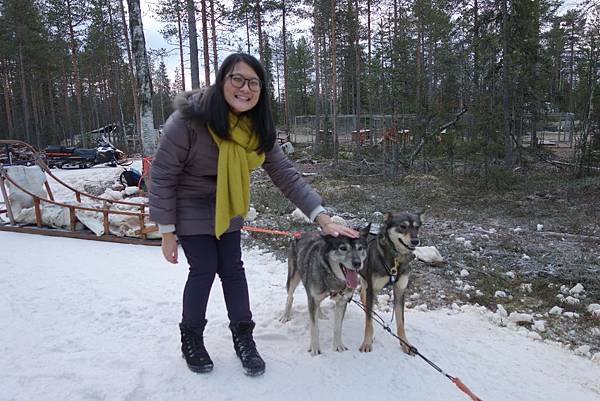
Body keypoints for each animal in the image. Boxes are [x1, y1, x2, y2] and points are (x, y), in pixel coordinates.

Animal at [360, 211, 422, 352]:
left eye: (417, 227)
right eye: (403, 226)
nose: (415, 241)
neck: (395, 260)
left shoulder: (399, 291)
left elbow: (401, 322)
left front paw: (406, 344)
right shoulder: (372, 289)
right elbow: (368, 322)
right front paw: (367, 342)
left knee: (362, 295)